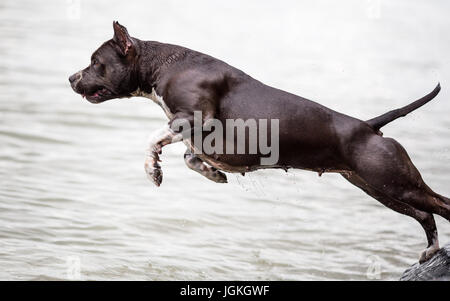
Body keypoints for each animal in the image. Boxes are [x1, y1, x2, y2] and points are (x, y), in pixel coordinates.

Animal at [68, 21, 448, 262]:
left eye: (96, 62)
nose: (71, 78)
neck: (163, 65)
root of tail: (369, 126)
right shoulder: (196, 135)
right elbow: (190, 158)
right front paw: (213, 174)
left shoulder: (193, 118)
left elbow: (152, 139)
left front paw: (153, 170)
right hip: (378, 188)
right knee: (424, 215)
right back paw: (430, 251)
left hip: (396, 183)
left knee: (439, 204)